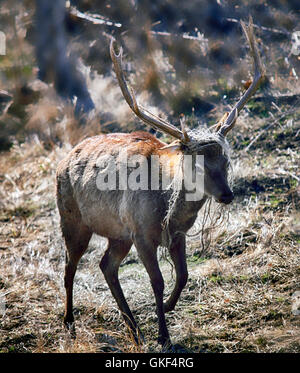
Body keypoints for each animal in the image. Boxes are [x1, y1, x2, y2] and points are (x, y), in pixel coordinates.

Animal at [55, 17, 262, 348]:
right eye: (197, 163)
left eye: (226, 161)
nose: (227, 195)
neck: (166, 206)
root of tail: (62, 161)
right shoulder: (142, 233)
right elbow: (157, 281)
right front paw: (163, 334)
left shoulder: (176, 234)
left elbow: (183, 275)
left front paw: (166, 308)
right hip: (73, 220)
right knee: (69, 266)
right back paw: (70, 324)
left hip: (118, 234)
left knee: (106, 265)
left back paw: (133, 329)